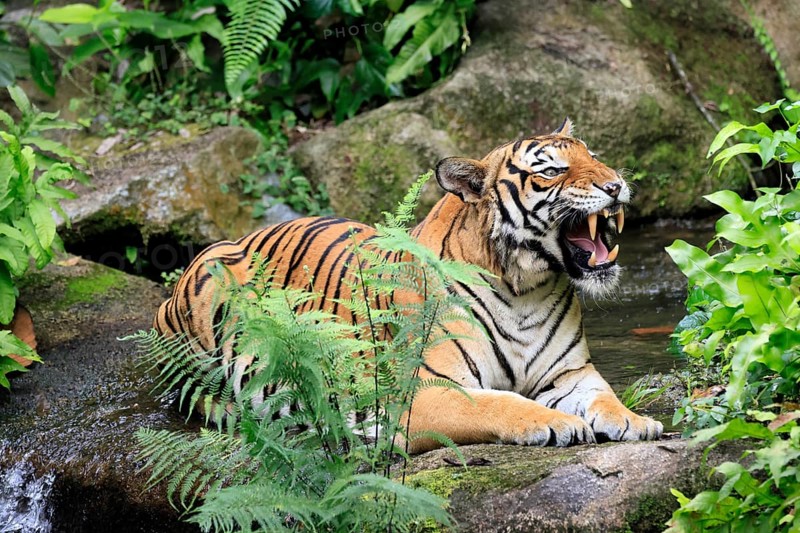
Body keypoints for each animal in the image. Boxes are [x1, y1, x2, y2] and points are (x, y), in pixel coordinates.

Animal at [154, 118, 663, 453]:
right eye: (552, 170)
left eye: (593, 157)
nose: (616, 185)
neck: (525, 289)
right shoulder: (425, 390)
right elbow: (499, 405)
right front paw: (557, 423)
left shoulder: (571, 374)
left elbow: (604, 397)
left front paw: (636, 421)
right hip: (208, 293)